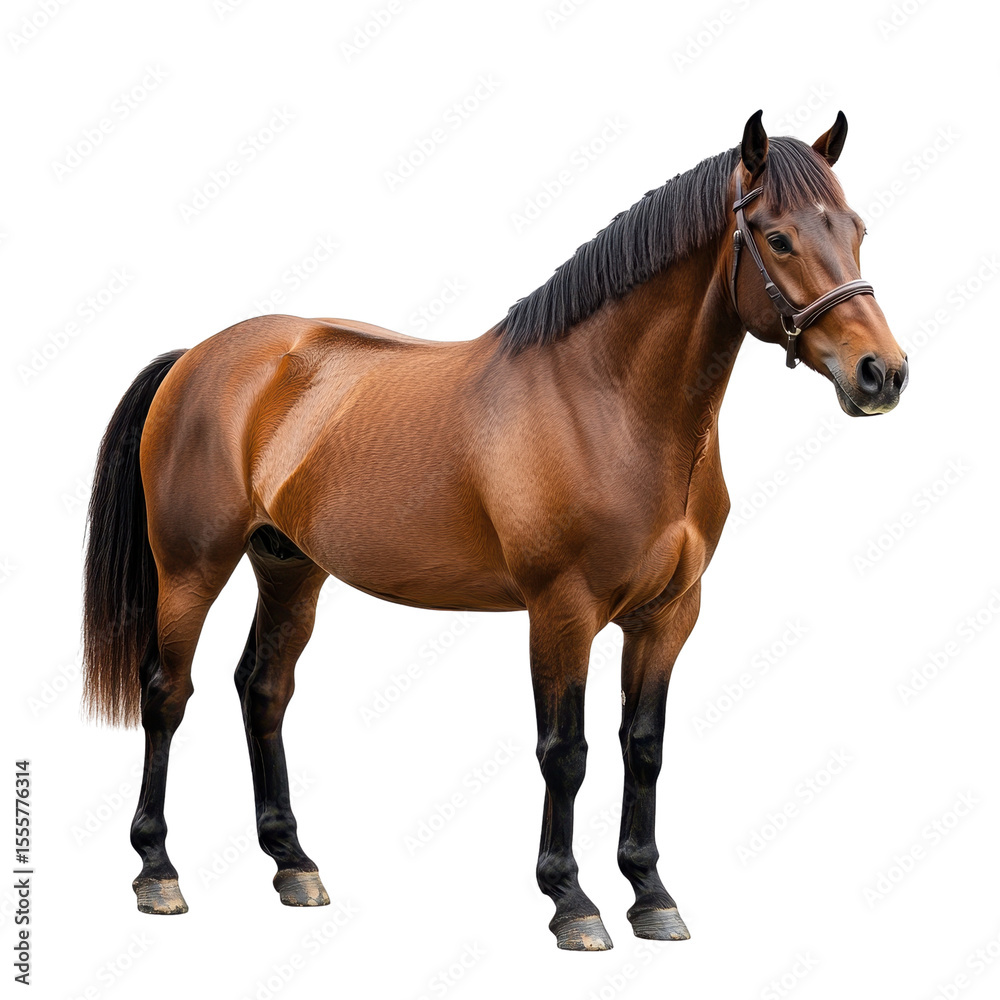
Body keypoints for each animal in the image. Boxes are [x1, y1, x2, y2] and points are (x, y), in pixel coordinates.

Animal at [81, 110, 907, 950]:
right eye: (778, 238)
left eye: (856, 229)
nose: (883, 373)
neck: (605, 403)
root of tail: (198, 357)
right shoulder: (561, 611)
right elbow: (566, 752)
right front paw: (572, 902)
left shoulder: (669, 616)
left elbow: (643, 748)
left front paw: (651, 894)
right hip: (192, 569)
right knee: (167, 694)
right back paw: (157, 872)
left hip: (289, 567)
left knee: (263, 689)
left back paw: (294, 864)